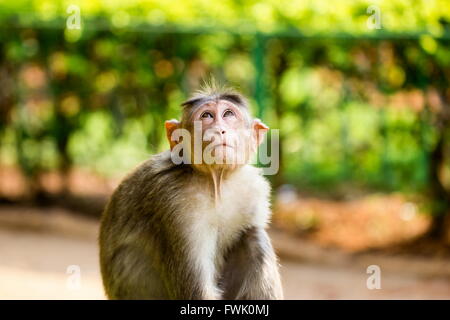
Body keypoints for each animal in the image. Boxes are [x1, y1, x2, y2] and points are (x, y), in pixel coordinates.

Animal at [99, 81, 284, 298]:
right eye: (206, 116)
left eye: (228, 114)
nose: (220, 130)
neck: (215, 183)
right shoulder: (176, 204)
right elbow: (196, 291)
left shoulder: (253, 189)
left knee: (254, 239)